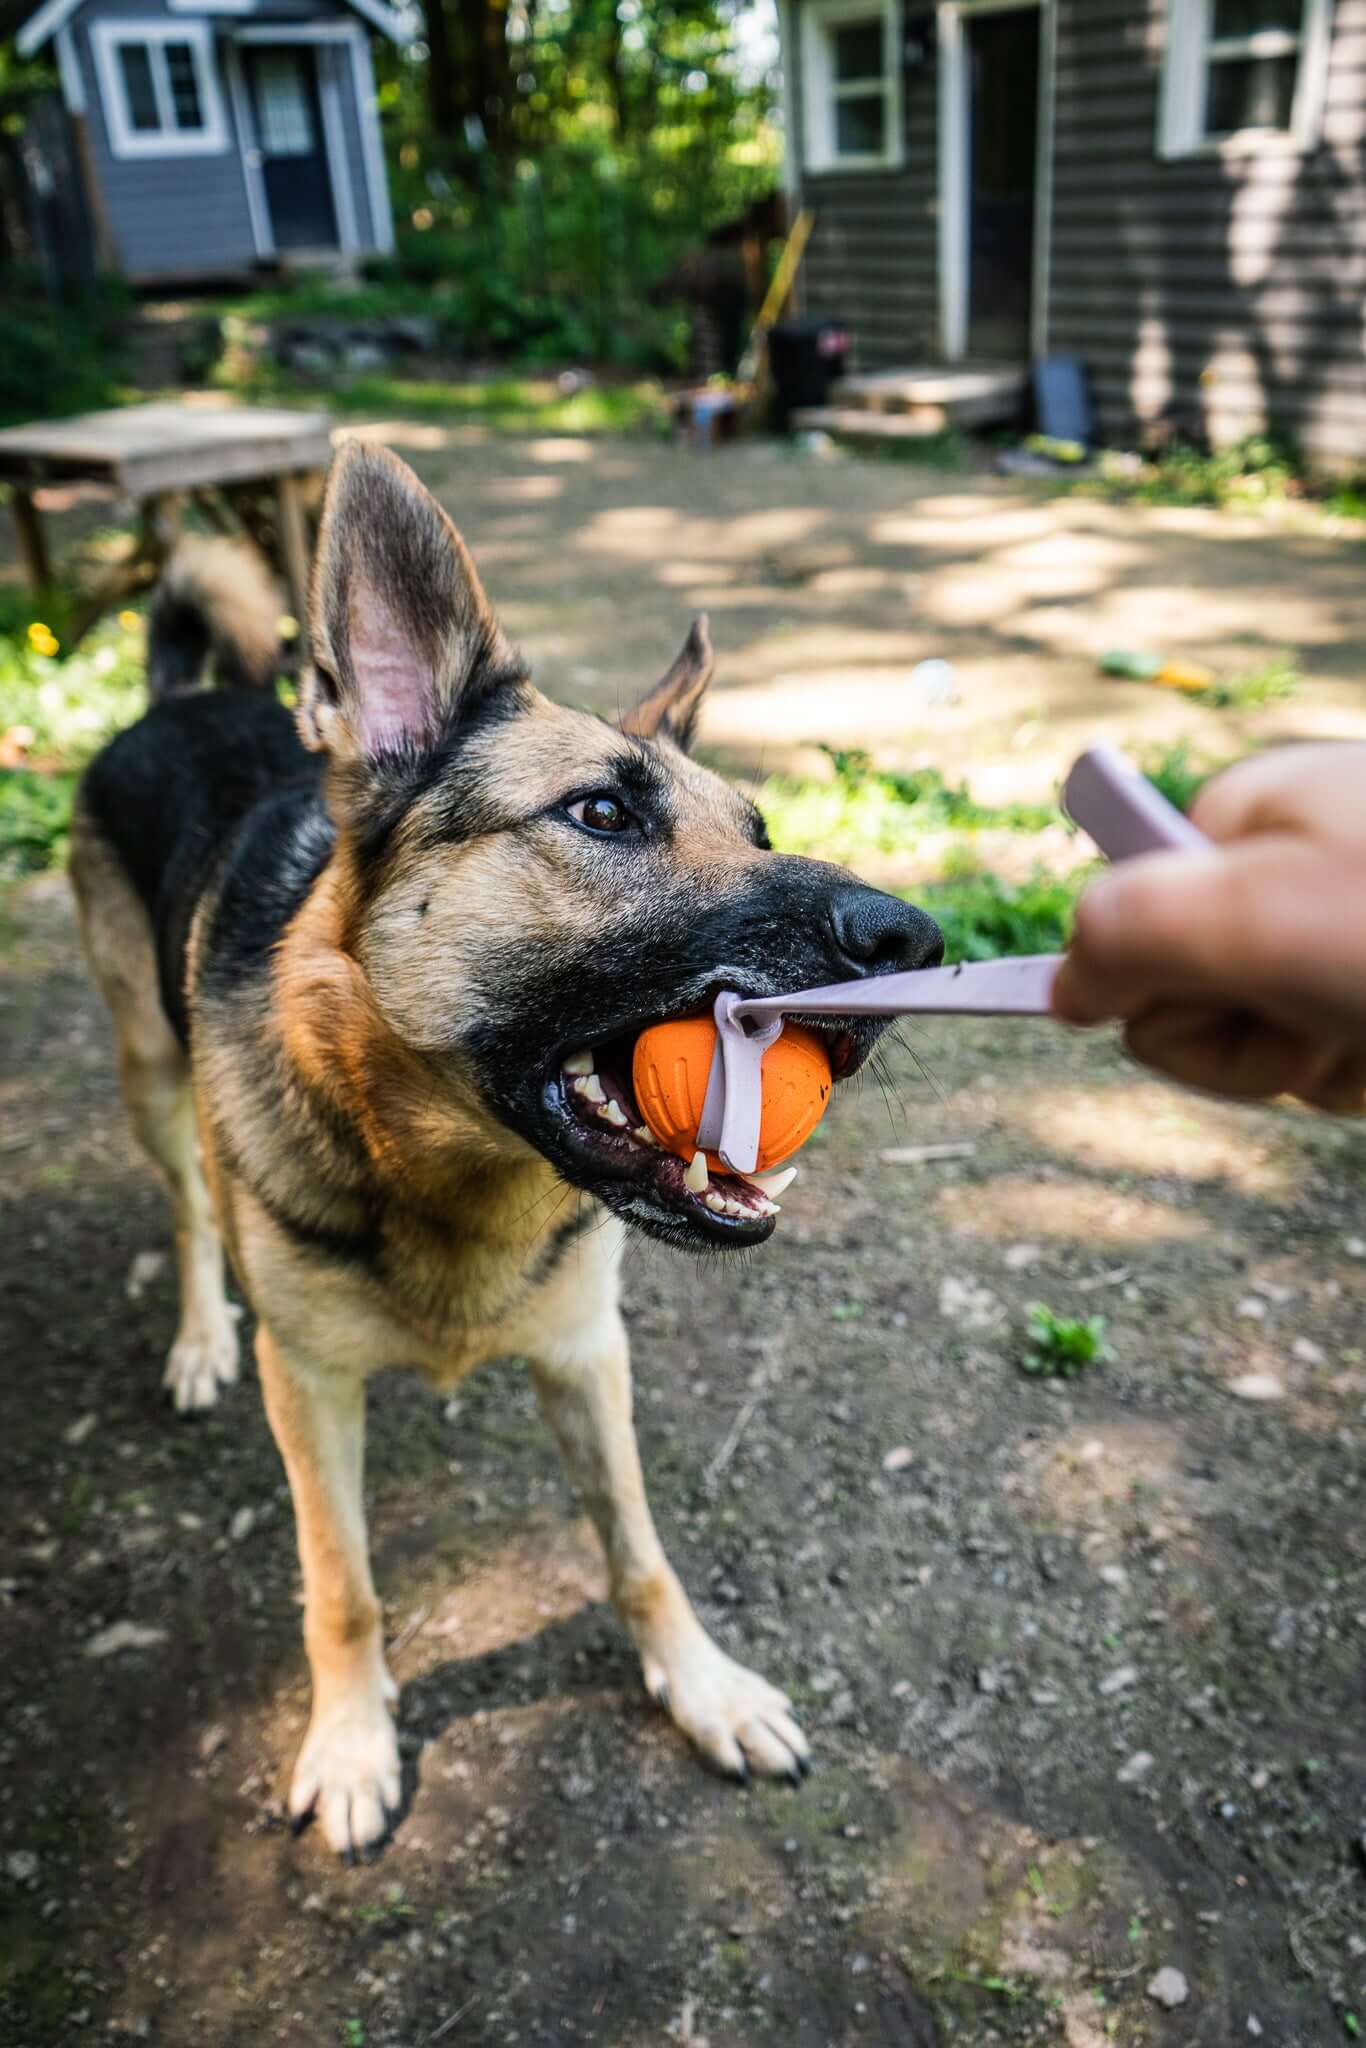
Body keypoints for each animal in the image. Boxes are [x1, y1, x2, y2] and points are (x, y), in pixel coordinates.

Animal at [72, 444, 942, 1859]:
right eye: (600, 811)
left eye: (758, 830)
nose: (920, 940)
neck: (449, 1168)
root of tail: (182, 702)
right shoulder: (310, 1387)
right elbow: (343, 1583)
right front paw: (352, 1739)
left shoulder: (588, 1353)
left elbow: (638, 1549)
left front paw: (700, 1686)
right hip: (150, 1074)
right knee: (192, 1207)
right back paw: (198, 1333)